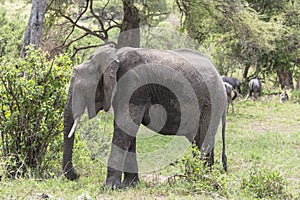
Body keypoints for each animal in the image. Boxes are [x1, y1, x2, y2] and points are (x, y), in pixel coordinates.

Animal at [62, 44, 227, 188]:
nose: (76, 174)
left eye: (82, 89)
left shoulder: (134, 86)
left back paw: (199, 181)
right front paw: (129, 185)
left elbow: (126, 127)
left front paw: (109, 187)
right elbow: (126, 130)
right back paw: (202, 180)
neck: (115, 56)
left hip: (211, 103)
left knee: (202, 140)